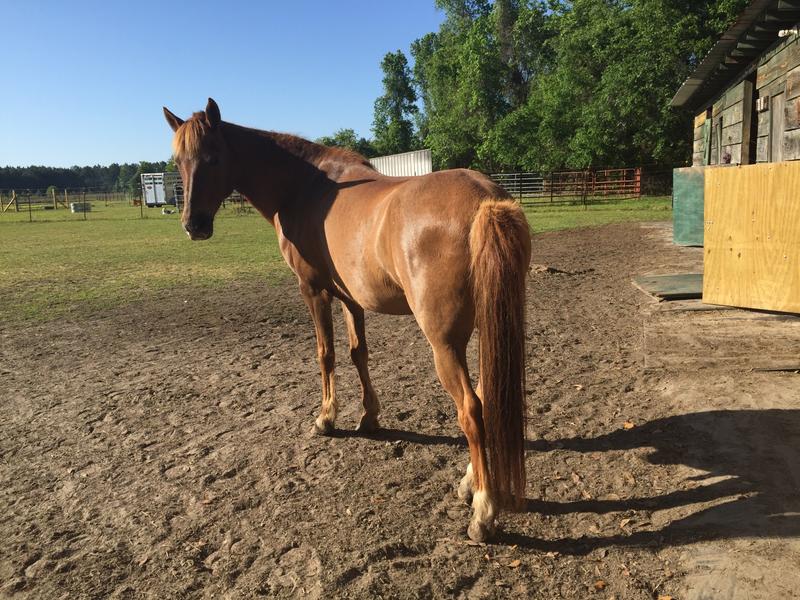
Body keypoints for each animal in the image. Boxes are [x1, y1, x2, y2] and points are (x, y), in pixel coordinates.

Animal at [163, 98, 531, 542]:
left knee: (471, 411)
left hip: (445, 343)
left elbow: (326, 354)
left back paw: (483, 509)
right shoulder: (350, 298)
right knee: (486, 397)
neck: (305, 187)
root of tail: (487, 201)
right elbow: (359, 354)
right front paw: (369, 416)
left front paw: (326, 418)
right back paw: (469, 483)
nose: (193, 225)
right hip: (486, 329)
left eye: (213, 157)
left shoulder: (313, 290)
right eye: (178, 161)